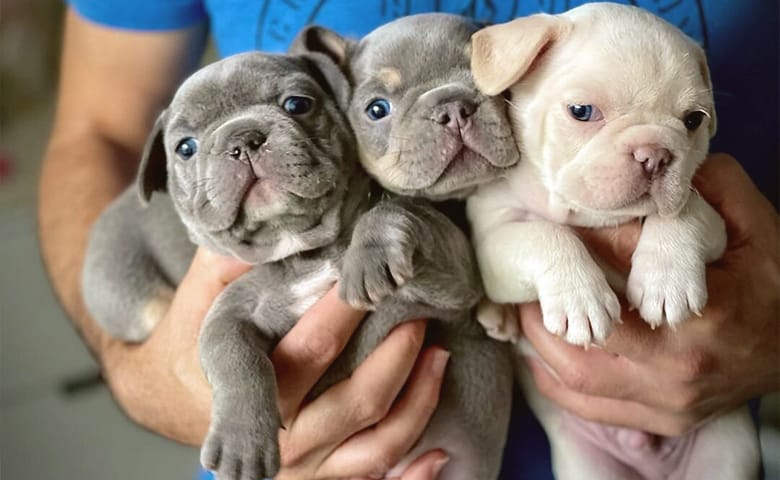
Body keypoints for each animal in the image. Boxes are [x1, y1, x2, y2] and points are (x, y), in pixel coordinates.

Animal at [82, 47, 508, 476]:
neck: (304, 250)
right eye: (185, 148)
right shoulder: (228, 312)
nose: (242, 139)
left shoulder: (457, 280)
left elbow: (402, 212)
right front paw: (241, 442)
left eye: (297, 104)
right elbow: (232, 355)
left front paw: (372, 254)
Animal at [466, 3, 760, 480]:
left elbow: (682, 213)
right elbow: (543, 232)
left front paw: (667, 280)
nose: (655, 154)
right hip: (589, 467)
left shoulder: (715, 219)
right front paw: (580, 298)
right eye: (582, 111)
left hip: (729, 453)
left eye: (693, 120)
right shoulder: (493, 242)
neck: (595, 217)